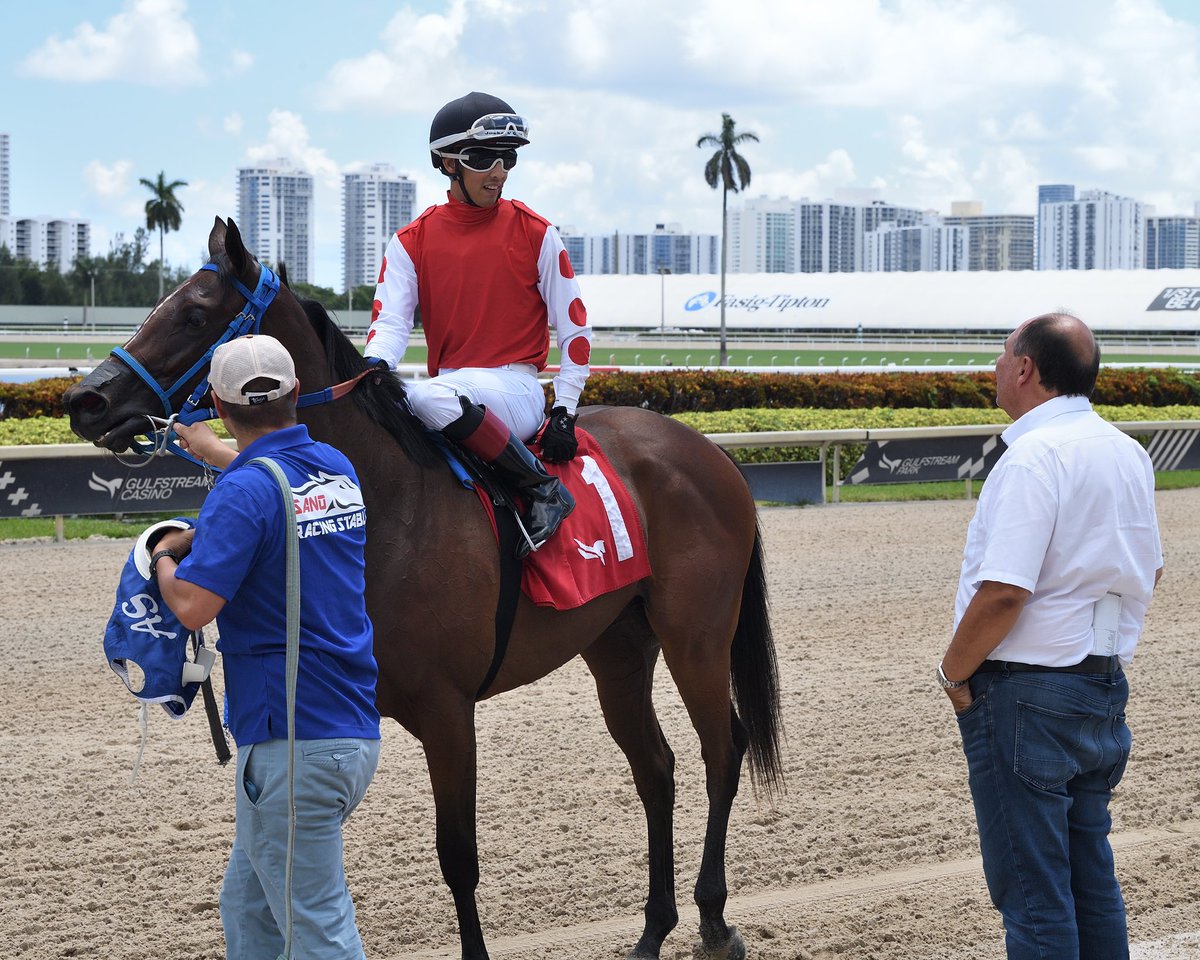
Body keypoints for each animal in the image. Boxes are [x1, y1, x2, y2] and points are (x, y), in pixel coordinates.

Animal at [65, 217, 782, 960]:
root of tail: (709, 452)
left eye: (195, 312)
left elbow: (457, 856)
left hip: (696, 637)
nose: (85, 400)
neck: (390, 504)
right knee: (657, 770)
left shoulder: (447, 710)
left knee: (722, 751)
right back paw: (652, 929)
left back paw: (714, 918)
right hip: (617, 646)